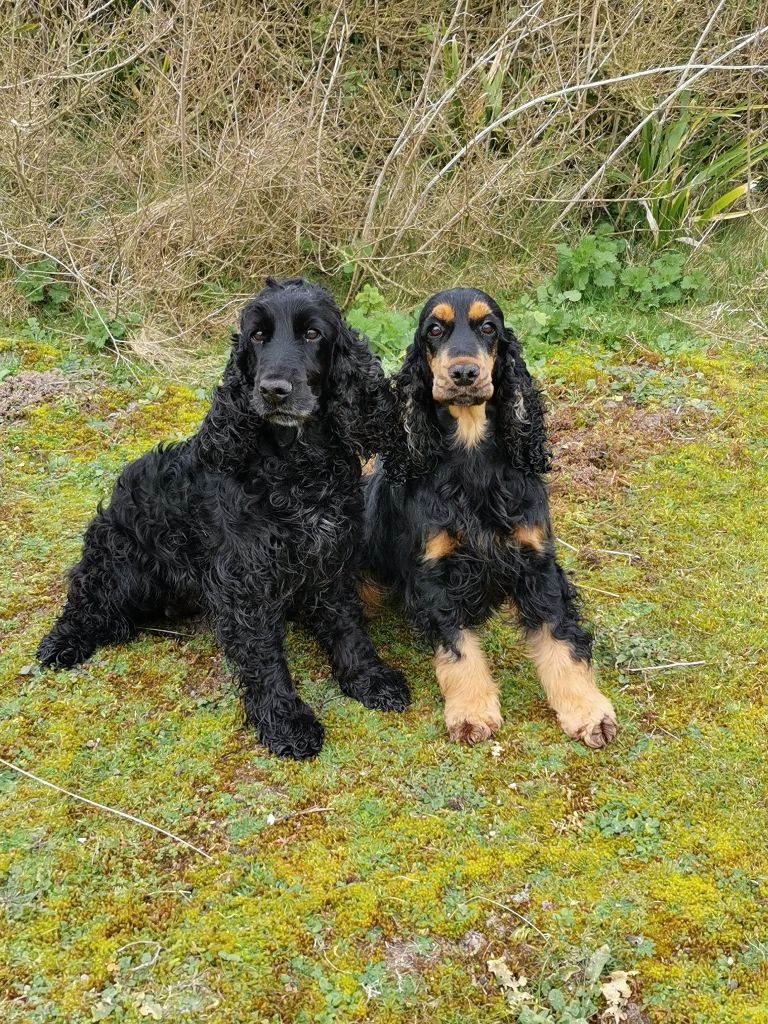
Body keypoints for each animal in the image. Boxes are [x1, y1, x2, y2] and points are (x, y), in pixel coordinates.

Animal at [37, 280, 409, 761]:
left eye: (313, 334)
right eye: (257, 336)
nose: (273, 390)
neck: (295, 467)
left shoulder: (331, 558)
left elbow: (347, 625)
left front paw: (369, 678)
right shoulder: (245, 582)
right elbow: (264, 657)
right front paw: (286, 722)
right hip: (120, 560)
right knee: (83, 599)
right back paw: (62, 643)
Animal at [362, 290, 618, 753]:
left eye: (488, 328)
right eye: (434, 330)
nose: (464, 373)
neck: (471, 454)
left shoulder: (537, 563)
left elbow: (561, 640)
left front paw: (587, 710)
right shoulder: (436, 576)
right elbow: (459, 649)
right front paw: (471, 711)